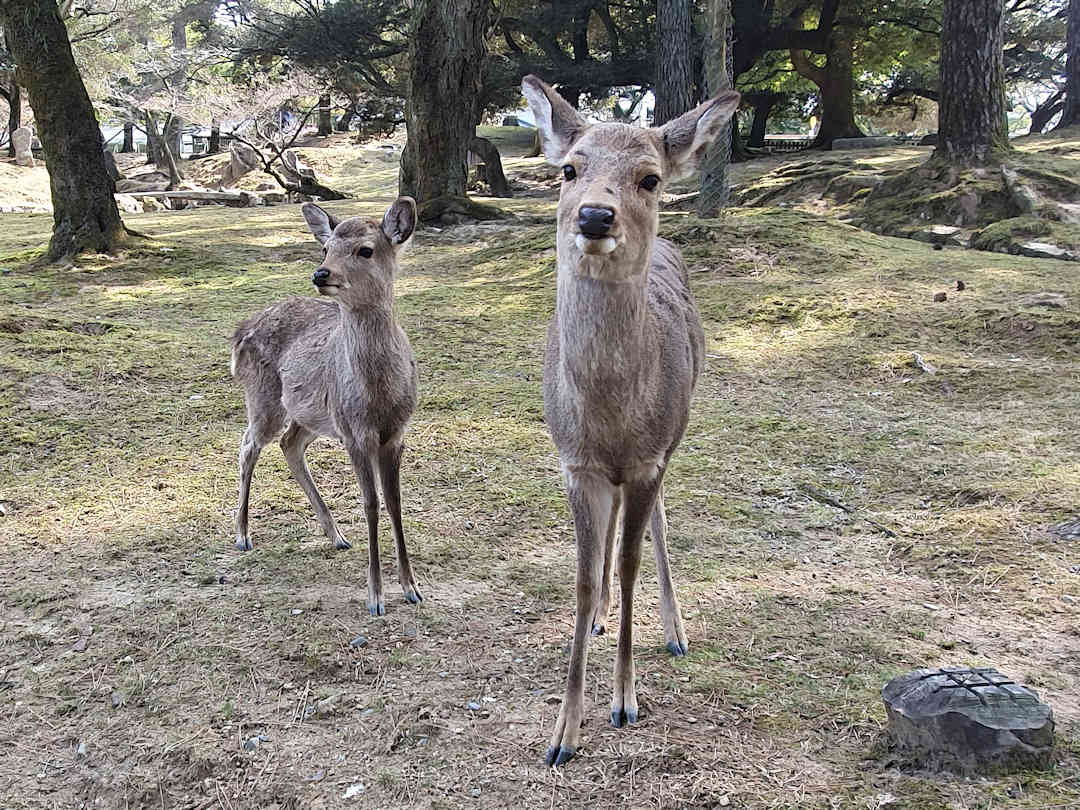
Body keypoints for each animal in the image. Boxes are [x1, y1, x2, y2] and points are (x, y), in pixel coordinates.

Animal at [230, 199, 423, 617]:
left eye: (365, 250)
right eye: (325, 248)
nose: (321, 273)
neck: (379, 397)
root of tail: (239, 333)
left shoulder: (396, 432)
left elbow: (395, 502)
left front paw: (412, 587)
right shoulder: (354, 432)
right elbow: (371, 503)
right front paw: (375, 596)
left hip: (312, 415)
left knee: (289, 444)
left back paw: (335, 534)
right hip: (264, 398)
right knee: (248, 445)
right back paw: (242, 534)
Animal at [522, 76, 743, 768]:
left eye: (649, 177)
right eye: (569, 169)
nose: (595, 215)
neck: (611, 417)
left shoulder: (648, 458)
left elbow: (629, 563)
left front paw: (624, 702)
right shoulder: (575, 462)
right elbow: (583, 578)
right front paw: (562, 734)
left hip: (675, 438)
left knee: (660, 527)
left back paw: (675, 632)